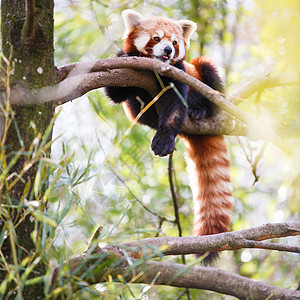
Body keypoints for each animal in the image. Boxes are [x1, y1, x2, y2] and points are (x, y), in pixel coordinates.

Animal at [106, 9, 234, 264]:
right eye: (156, 38)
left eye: (175, 42)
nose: (167, 50)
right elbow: (115, 92)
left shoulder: (179, 75)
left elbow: (175, 105)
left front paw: (164, 140)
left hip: (204, 75)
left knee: (207, 70)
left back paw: (200, 111)